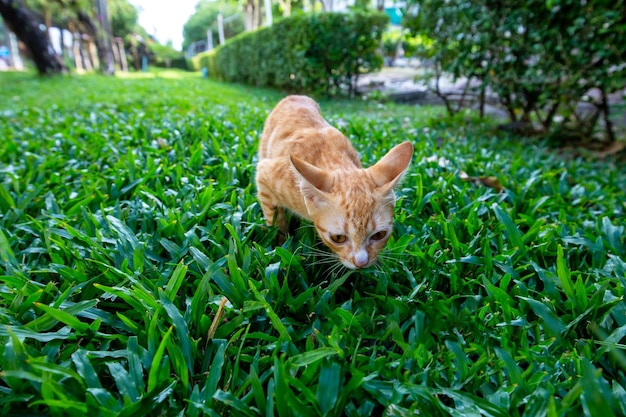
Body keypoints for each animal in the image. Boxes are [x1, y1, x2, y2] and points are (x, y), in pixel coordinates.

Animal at [254, 95, 410, 268]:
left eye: (379, 235)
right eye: (338, 238)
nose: (361, 263)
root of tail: (295, 96)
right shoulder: (264, 175)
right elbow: (276, 223)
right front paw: (279, 247)